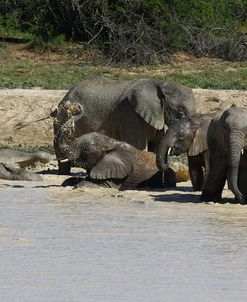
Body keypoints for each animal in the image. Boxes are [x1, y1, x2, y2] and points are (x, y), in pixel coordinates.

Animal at [53, 76, 196, 173]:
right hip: (62, 117)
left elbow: (156, 146)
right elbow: (140, 148)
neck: (159, 83)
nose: (78, 108)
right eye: (180, 112)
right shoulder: (132, 117)